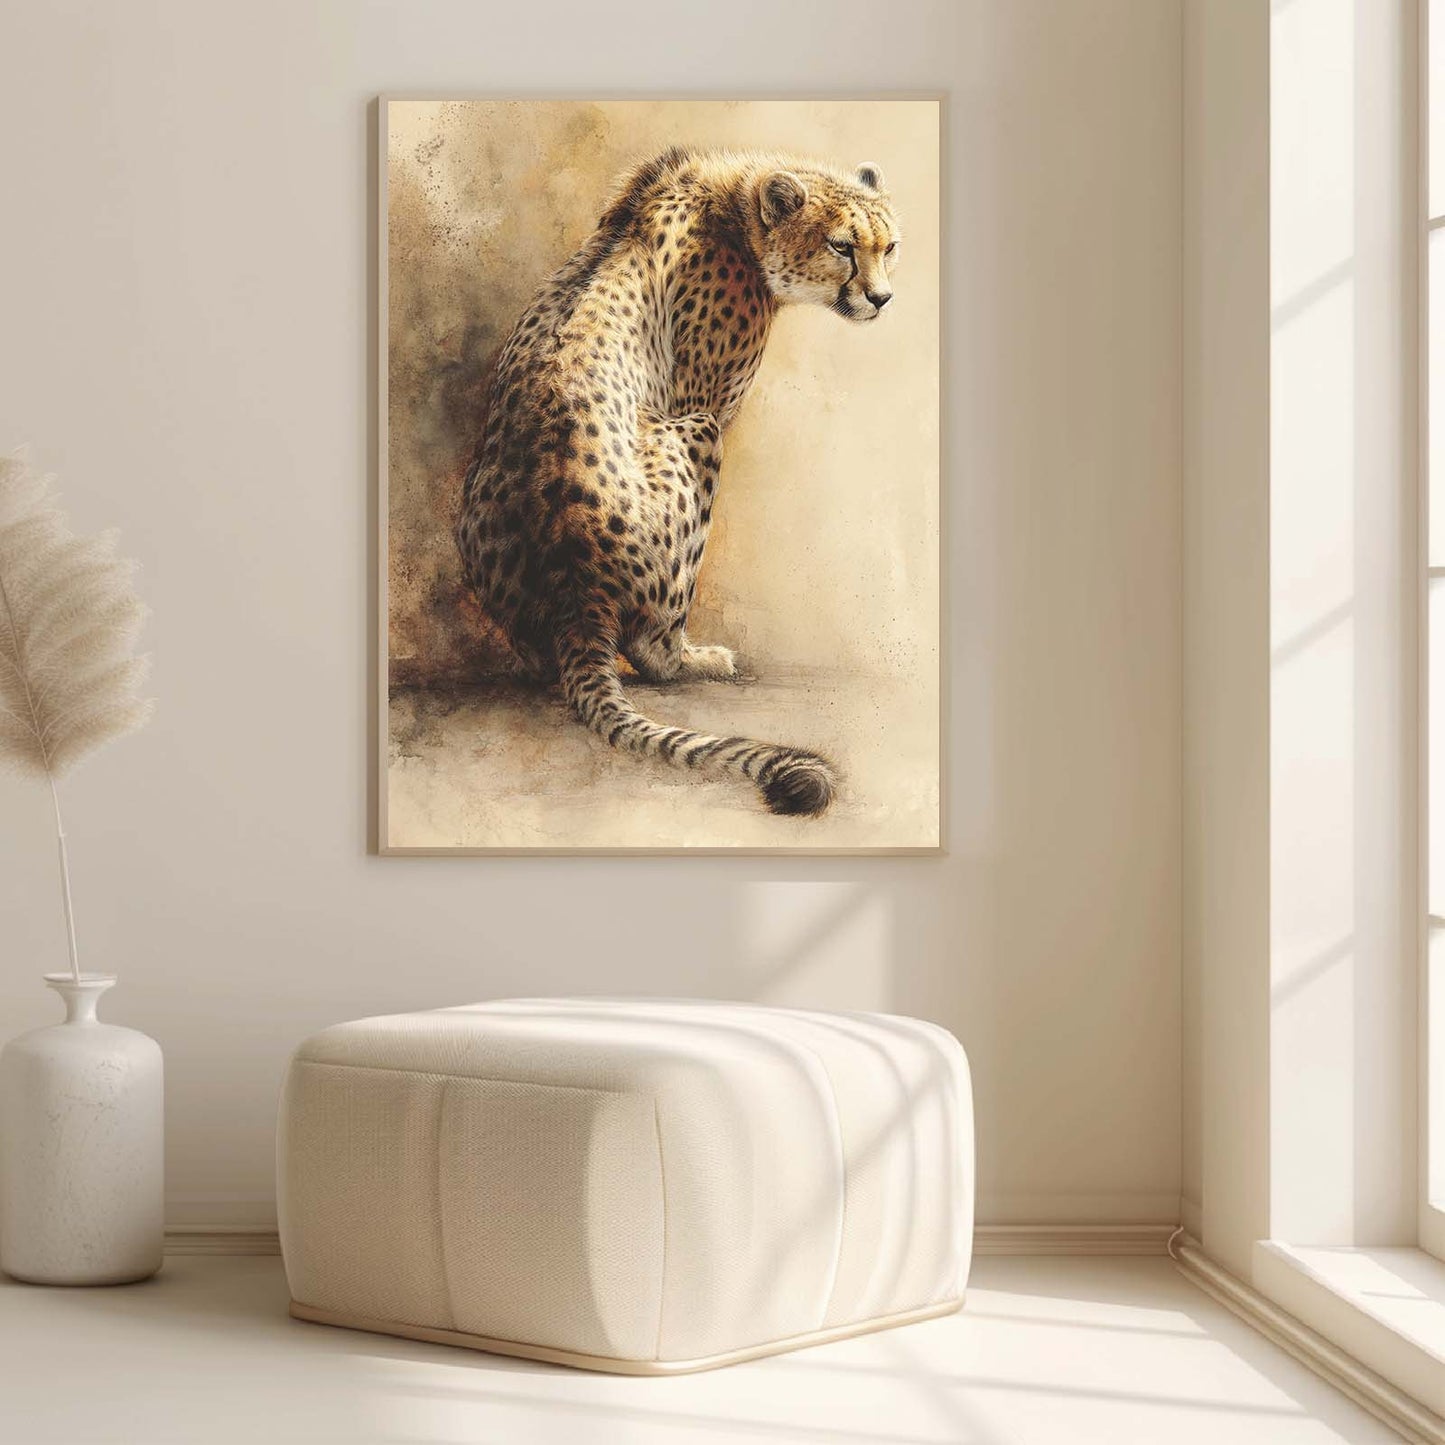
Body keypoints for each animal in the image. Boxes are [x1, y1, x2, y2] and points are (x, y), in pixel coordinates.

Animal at [454, 146, 901, 816]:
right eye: (841, 246)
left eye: (889, 246)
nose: (882, 298)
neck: (738, 209)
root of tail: (573, 590)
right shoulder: (704, 401)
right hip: (696, 437)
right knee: (651, 649)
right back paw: (697, 658)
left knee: (539, 660)